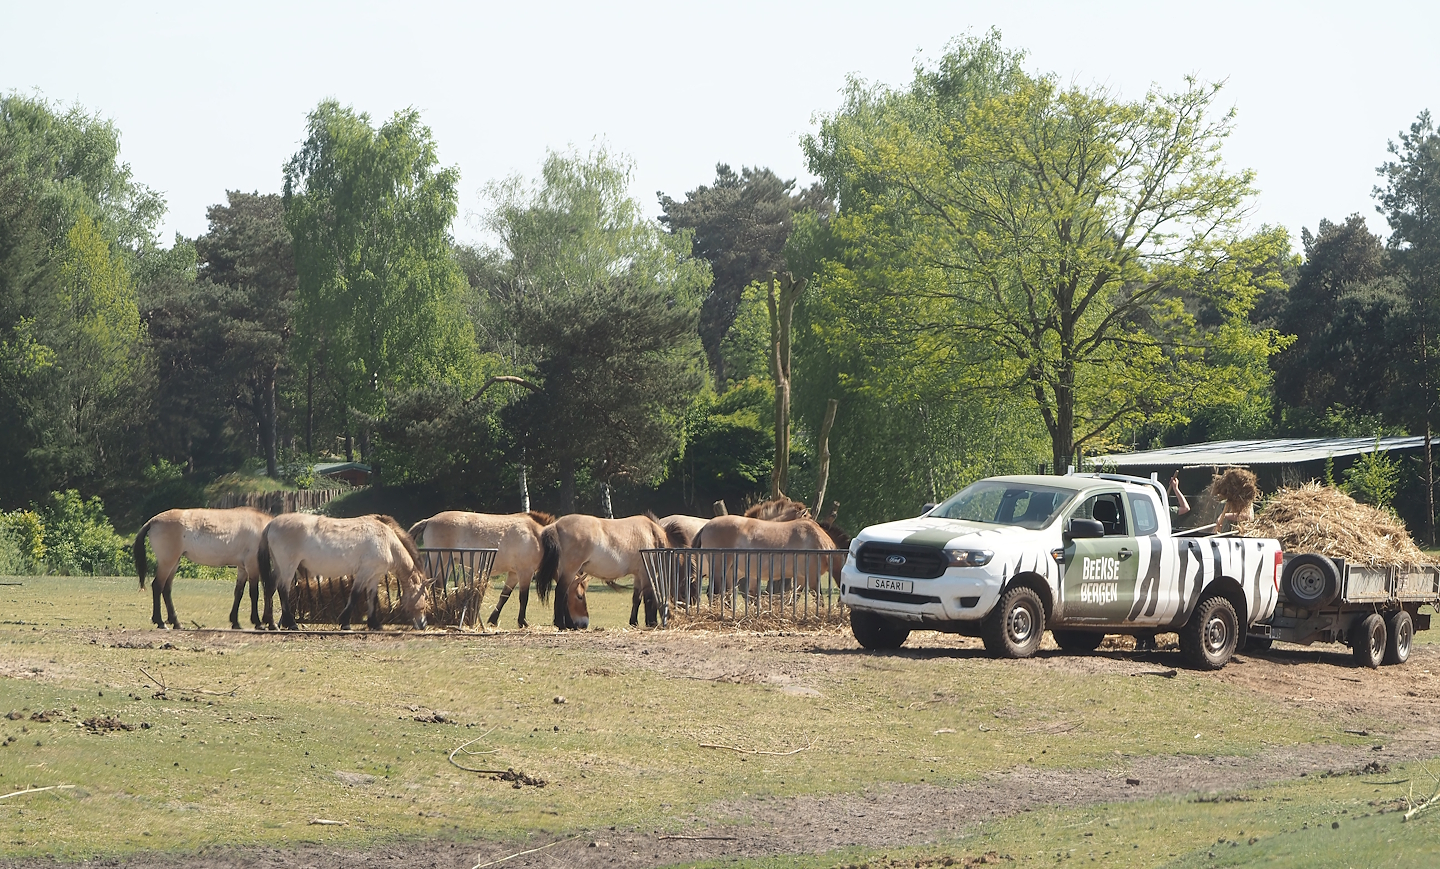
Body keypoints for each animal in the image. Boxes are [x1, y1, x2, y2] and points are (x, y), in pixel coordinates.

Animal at [132, 507, 272, 630]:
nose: (271, 623)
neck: (262, 528)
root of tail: (153, 521)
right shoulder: (252, 565)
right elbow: (254, 593)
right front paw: (258, 623)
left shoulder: (242, 568)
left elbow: (239, 592)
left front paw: (235, 622)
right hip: (167, 562)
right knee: (158, 586)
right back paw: (161, 622)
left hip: (174, 563)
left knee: (166, 589)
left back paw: (176, 623)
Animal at [258, 513, 430, 631]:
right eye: (424, 598)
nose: (423, 623)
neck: (387, 542)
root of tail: (271, 524)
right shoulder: (364, 572)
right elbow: (355, 595)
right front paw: (345, 622)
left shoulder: (374, 575)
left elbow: (371, 597)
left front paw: (374, 623)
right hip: (288, 566)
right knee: (282, 590)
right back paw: (291, 623)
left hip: (279, 566)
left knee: (270, 587)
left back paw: (271, 623)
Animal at [408, 510, 555, 628]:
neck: (535, 534)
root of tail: (429, 520)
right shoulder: (525, 572)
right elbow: (523, 598)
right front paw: (522, 622)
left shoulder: (514, 574)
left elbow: (504, 596)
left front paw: (493, 620)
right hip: (438, 560)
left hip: (446, 563)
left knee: (438, 585)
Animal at [534, 513, 670, 630]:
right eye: (580, 596)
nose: (584, 624)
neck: (652, 533)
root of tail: (555, 525)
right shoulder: (646, 572)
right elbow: (649, 596)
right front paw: (651, 622)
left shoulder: (638, 575)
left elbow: (637, 598)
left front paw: (634, 622)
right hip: (569, 571)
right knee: (561, 593)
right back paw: (563, 625)